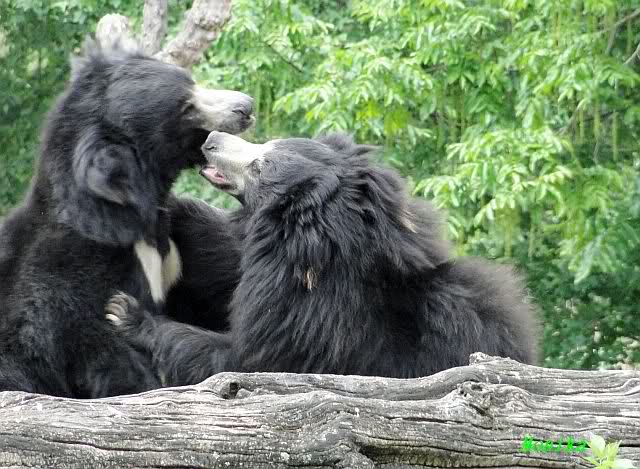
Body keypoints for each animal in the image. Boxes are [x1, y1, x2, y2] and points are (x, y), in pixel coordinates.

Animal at [0, 40, 253, 397]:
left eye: (192, 82)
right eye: (185, 107)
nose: (246, 107)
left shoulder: (172, 256)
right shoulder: (85, 290)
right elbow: (110, 354)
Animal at [106, 131, 540, 385]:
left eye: (259, 165)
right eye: (267, 142)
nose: (211, 139)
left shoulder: (314, 327)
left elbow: (245, 360)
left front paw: (125, 313)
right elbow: (225, 261)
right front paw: (172, 208)